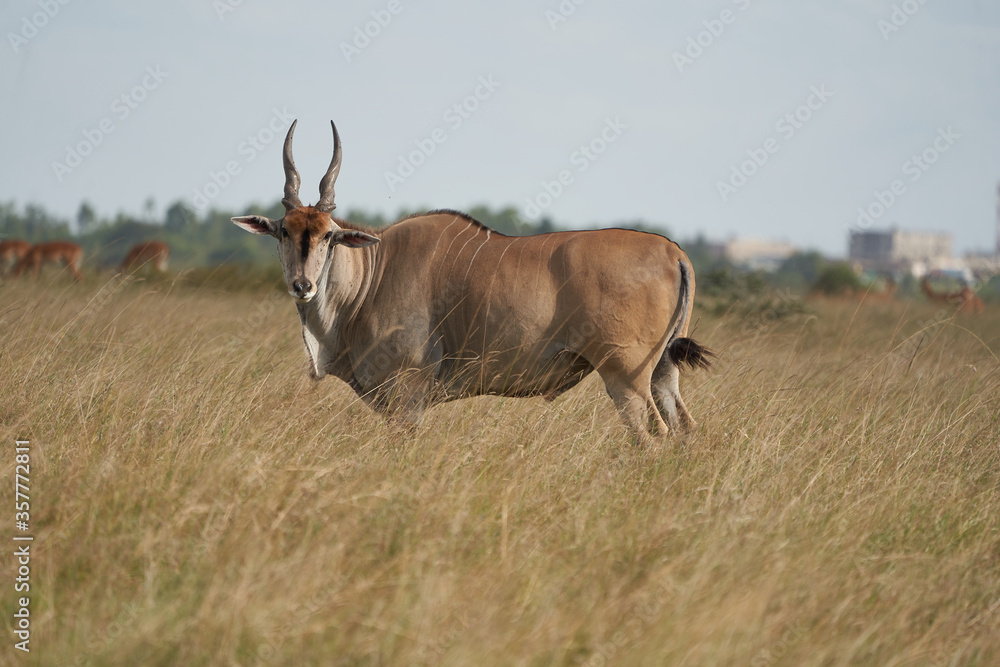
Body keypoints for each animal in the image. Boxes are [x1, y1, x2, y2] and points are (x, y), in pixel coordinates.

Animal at [232, 121, 712, 444]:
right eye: (284, 232)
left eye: (328, 235)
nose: (303, 286)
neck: (373, 273)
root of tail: (672, 252)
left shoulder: (406, 400)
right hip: (662, 373)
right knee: (684, 430)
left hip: (626, 378)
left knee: (653, 439)